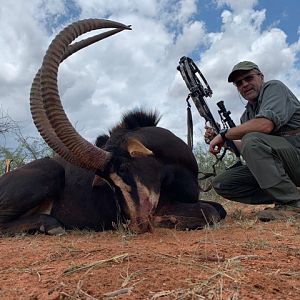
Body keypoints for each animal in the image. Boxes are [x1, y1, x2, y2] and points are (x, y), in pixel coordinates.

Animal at [0, 18, 225, 236]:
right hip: (50, 171)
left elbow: (219, 209)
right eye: (109, 181)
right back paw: (50, 224)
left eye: (124, 168)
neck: (179, 168)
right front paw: (170, 221)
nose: (136, 225)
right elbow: (211, 211)